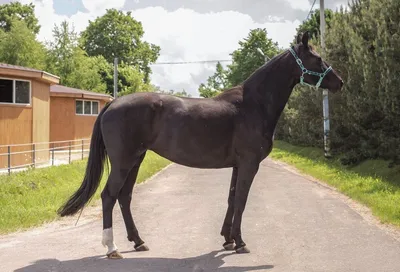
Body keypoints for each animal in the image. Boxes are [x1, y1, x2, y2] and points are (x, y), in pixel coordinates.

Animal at [57, 32, 344, 260]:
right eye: (317, 59)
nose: (339, 82)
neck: (253, 105)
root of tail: (113, 103)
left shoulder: (238, 165)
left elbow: (232, 198)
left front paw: (227, 239)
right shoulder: (249, 164)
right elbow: (241, 200)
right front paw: (240, 242)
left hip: (135, 160)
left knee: (124, 197)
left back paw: (138, 242)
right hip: (123, 162)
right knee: (109, 196)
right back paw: (111, 248)